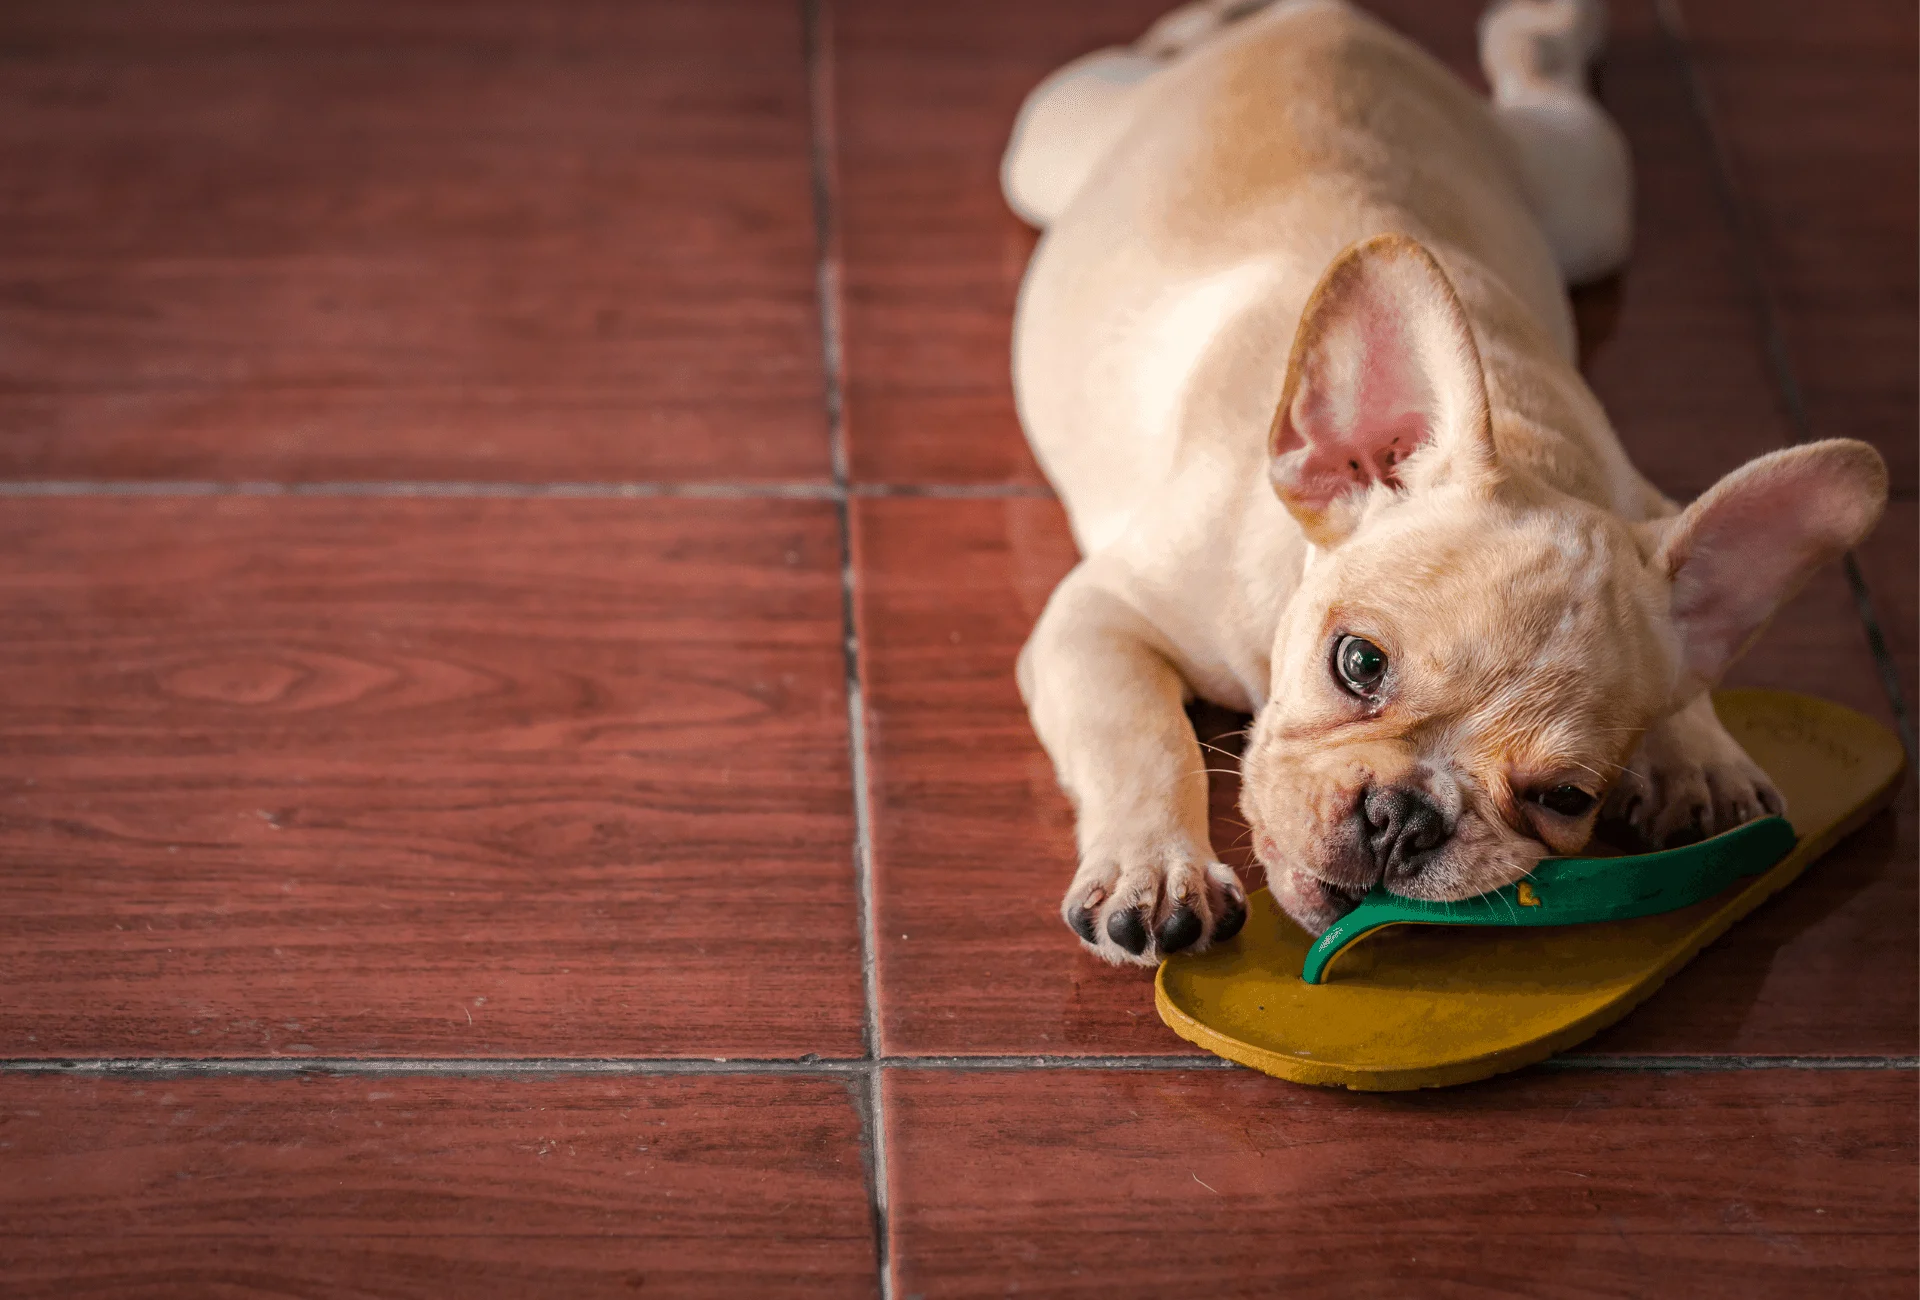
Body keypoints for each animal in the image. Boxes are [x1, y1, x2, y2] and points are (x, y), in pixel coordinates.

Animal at [1006, 2, 1889, 963]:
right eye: (1358, 663)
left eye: (1566, 798)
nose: (1404, 817)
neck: (1534, 445)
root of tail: (1326, 19)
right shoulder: (1100, 618)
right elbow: (1141, 735)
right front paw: (1156, 867)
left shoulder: (1647, 507)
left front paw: (1700, 754)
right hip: (1052, 143)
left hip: (1583, 200)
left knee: (1542, 85)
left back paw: (1546, 29)